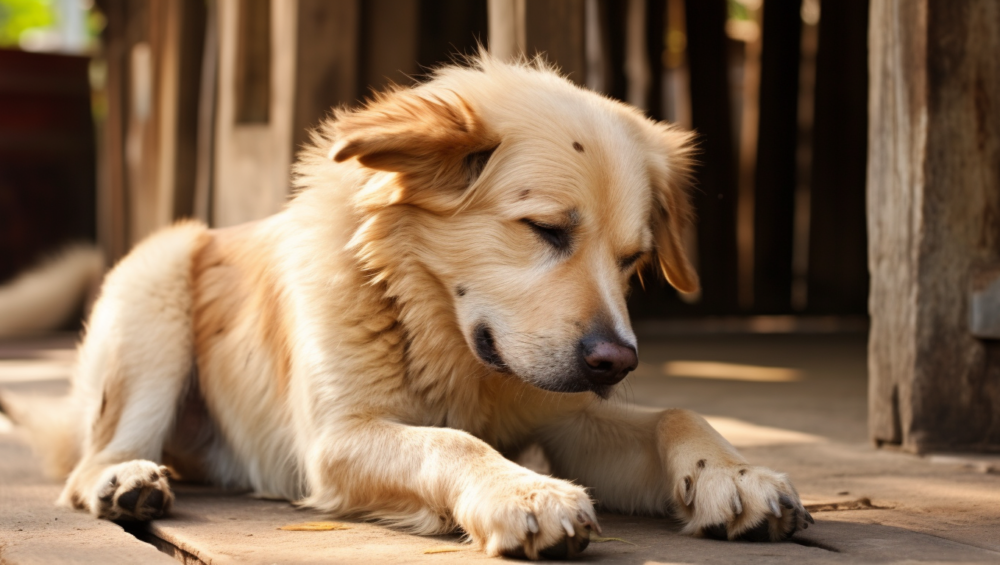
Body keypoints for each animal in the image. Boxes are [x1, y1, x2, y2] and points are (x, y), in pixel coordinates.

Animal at [1, 55, 812, 556]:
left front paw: (735, 476)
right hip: (160, 276)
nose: (618, 362)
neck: (429, 323)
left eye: (633, 260)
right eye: (547, 229)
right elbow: (451, 441)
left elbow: (678, 413)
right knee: (90, 460)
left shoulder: (570, 419)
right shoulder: (335, 442)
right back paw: (126, 480)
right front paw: (521, 491)